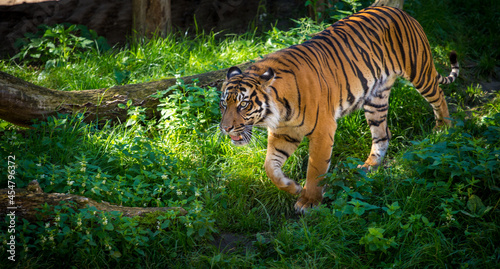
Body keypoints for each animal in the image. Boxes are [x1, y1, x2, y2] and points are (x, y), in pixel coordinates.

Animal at [219, 5, 460, 213]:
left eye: (243, 104)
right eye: (223, 104)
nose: (225, 128)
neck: (279, 112)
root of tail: (398, 10)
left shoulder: (322, 131)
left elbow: (315, 169)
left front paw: (309, 201)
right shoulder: (283, 134)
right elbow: (270, 168)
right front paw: (293, 187)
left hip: (419, 71)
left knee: (440, 97)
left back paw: (443, 130)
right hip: (376, 99)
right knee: (383, 134)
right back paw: (369, 166)